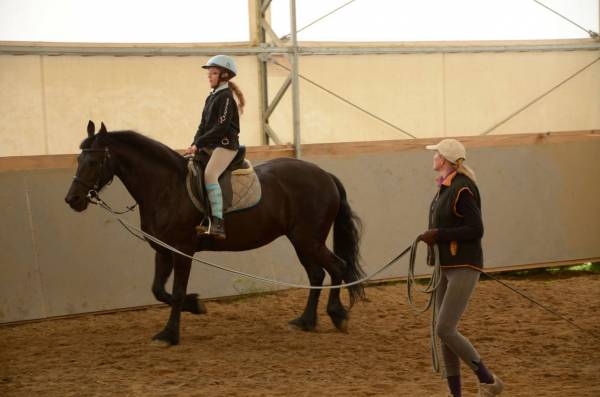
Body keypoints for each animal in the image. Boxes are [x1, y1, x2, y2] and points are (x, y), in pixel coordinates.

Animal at [65, 122, 366, 344]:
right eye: (79, 158)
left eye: (93, 161)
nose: (73, 199)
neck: (166, 188)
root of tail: (325, 175)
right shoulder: (163, 250)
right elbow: (158, 290)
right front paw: (196, 305)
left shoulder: (183, 250)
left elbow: (176, 292)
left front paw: (169, 334)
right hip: (301, 241)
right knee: (317, 275)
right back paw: (305, 321)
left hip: (308, 240)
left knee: (337, 267)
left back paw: (337, 315)